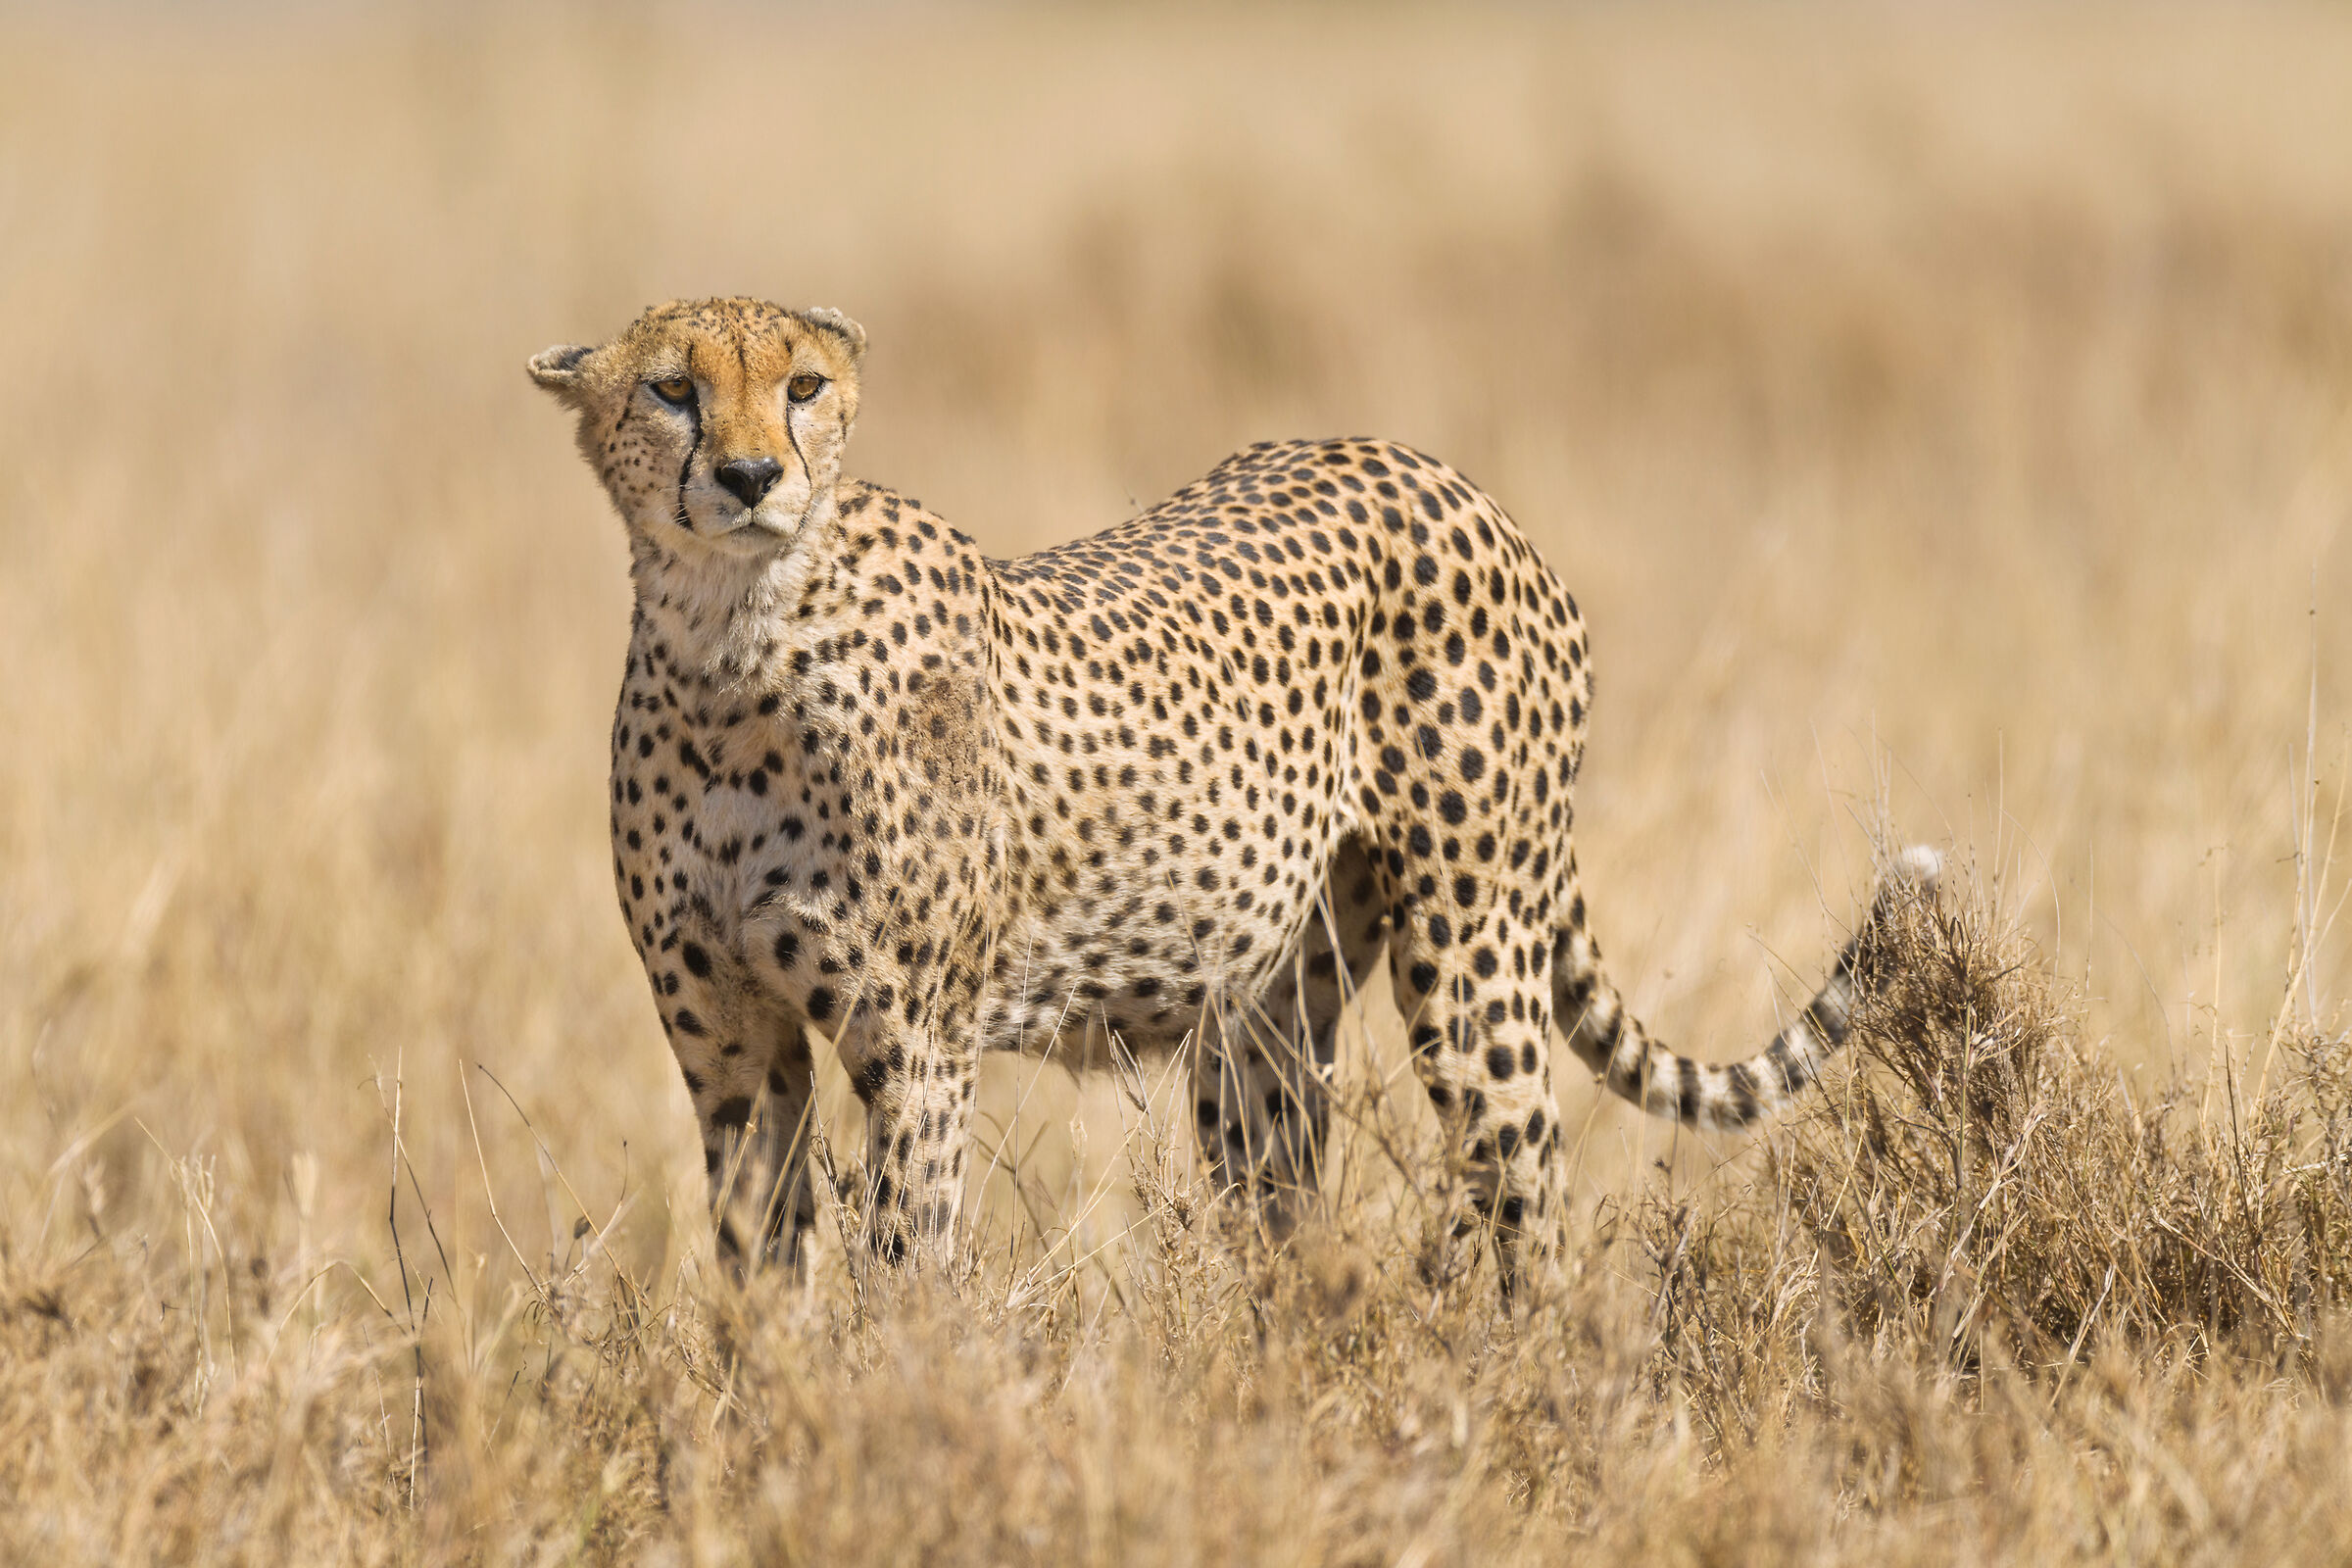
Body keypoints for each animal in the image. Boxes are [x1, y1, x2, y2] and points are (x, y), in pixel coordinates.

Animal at [528, 296, 1940, 1293]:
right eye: (672, 388)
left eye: (804, 387)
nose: (751, 478)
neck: (730, 648)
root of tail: (1431, 468)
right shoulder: (731, 1048)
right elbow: (754, 1271)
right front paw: (761, 1430)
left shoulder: (916, 1047)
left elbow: (905, 1272)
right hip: (1262, 1016)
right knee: (1288, 1214)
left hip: (1471, 955)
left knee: (1527, 1181)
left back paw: (1545, 1397)